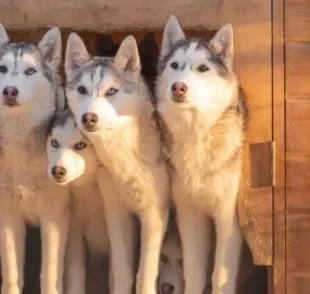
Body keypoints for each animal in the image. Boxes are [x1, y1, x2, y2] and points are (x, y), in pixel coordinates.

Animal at [0, 23, 70, 294]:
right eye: (2, 69)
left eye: (30, 71)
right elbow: (12, 275)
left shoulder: (54, 218)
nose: (9, 91)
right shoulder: (9, 217)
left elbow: (48, 275)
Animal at [64, 32, 168, 294]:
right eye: (82, 90)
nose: (88, 118)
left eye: (111, 91)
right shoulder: (116, 213)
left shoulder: (154, 215)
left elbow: (144, 276)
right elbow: (122, 273)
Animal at [156, 15, 248, 294]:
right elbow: (193, 273)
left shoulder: (228, 219)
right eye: (175, 65)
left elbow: (220, 276)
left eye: (202, 69)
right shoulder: (189, 215)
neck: (196, 134)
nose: (178, 87)